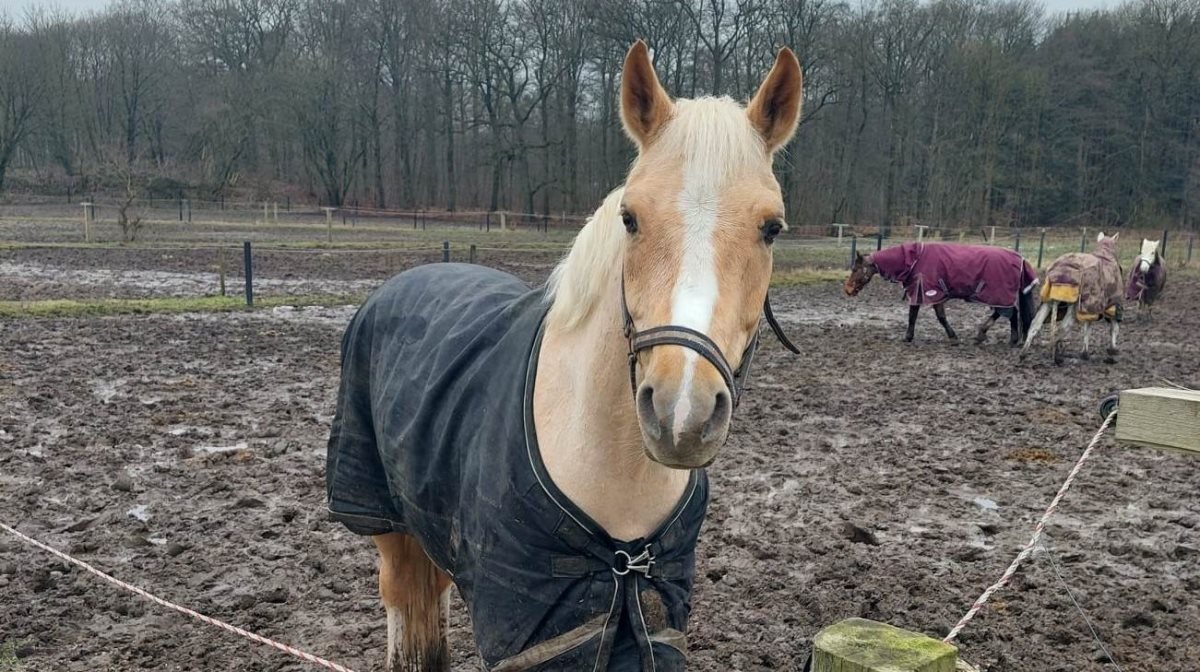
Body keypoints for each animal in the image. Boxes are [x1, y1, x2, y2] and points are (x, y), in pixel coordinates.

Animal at [324, 42, 801, 672]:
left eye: (771, 228)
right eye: (630, 218)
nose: (681, 415)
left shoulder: (649, 625)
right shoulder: (533, 635)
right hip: (387, 527)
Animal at [849, 242, 1036, 345]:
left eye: (856, 269)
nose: (848, 289)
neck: (916, 259)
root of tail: (1020, 258)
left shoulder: (925, 293)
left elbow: (922, 316)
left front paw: (908, 337)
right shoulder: (930, 295)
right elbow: (933, 316)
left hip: (998, 295)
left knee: (1007, 313)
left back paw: (989, 335)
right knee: (1011, 313)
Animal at [1022, 232, 1123, 367]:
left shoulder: (1090, 308)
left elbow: (1087, 328)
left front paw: (1085, 353)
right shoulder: (1113, 306)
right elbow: (1114, 328)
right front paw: (1113, 350)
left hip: (1049, 302)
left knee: (1035, 324)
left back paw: (1024, 353)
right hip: (1073, 305)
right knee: (1064, 327)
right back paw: (1055, 356)